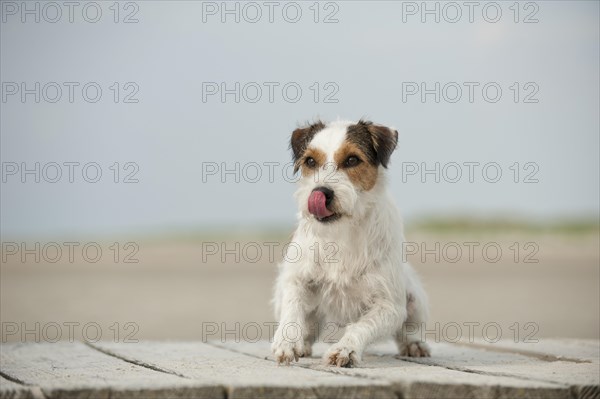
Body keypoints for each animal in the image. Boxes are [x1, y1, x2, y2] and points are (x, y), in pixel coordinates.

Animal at [272, 119, 432, 368]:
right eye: (310, 161)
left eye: (352, 160)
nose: (321, 193)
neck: (342, 231)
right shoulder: (296, 278)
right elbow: (293, 307)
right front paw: (287, 342)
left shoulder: (389, 305)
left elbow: (362, 325)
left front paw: (345, 349)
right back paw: (304, 342)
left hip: (414, 298)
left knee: (410, 329)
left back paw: (415, 345)